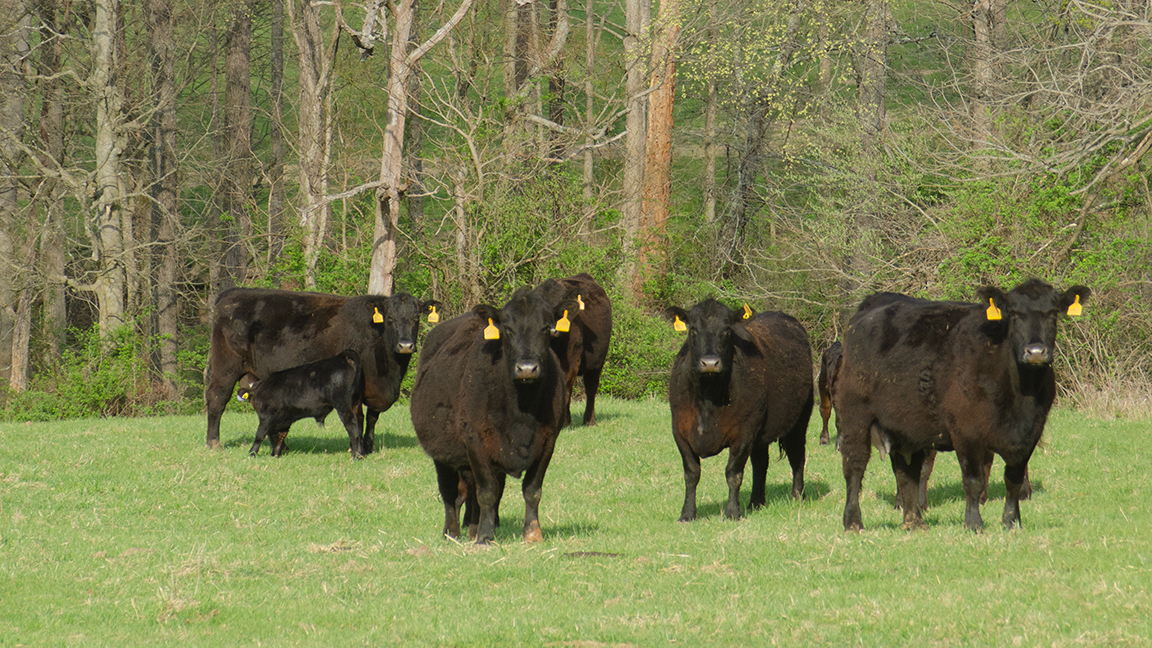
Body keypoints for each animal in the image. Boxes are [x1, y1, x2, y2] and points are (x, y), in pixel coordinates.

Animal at [205, 287, 439, 456]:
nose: (405, 345)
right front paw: (357, 447)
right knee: (217, 399)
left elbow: (372, 417)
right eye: (390, 318)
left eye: (416, 317)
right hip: (225, 367)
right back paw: (213, 443)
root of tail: (233, 293)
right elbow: (359, 417)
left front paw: (369, 447)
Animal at [410, 288, 575, 544]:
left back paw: (473, 529)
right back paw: (452, 533)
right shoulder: (475, 439)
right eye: (507, 328)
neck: (522, 411)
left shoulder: (548, 440)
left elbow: (532, 490)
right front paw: (486, 537)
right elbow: (487, 492)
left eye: (546, 328)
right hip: (442, 452)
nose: (527, 368)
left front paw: (532, 533)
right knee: (451, 495)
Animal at [534, 273, 613, 426]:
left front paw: (564, 421)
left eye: (559, 308)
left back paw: (589, 420)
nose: (552, 329)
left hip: (597, 362)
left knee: (591, 388)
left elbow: (566, 385)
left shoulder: (571, 361)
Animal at [666, 299, 813, 522]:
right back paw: (756, 502)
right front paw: (687, 514)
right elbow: (691, 473)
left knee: (797, 456)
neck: (708, 397)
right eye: (693, 330)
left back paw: (797, 495)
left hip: (799, 420)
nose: (710, 363)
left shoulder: (744, 432)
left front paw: (732, 512)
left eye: (727, 331)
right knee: (761, 464)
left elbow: (733, 473)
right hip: (761, 431)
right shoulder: (680, 431)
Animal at [834, 279, 1089, 532]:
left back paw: (915, 522)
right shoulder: (966, 432)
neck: (1020, 395)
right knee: (854, 465)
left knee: (907, 471)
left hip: (907, 425)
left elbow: (1013, 479)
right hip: (855, 415)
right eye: (1015, 314)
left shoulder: (1030, 433)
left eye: (1053, 313)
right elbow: (973, 481)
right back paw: (853, 521)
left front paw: (1011, 521)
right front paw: (973, 523)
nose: (1035, 352)